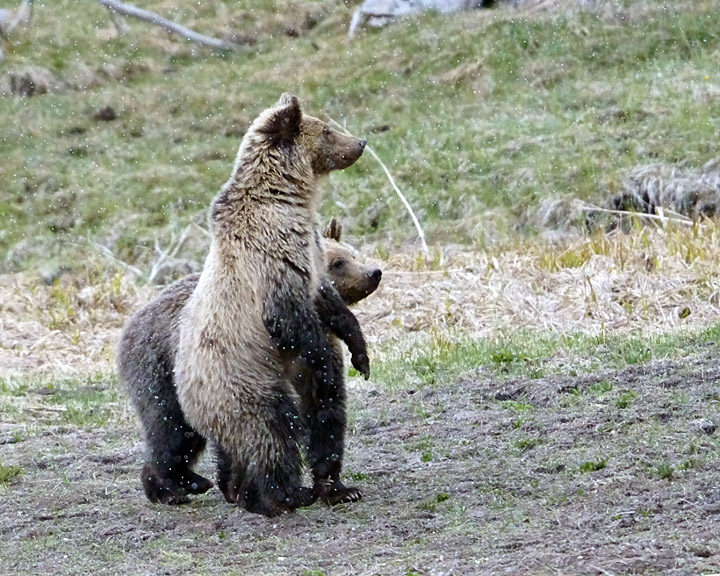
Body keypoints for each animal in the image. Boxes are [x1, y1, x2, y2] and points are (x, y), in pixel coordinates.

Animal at [174, 94, 368, 516]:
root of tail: (190, 404)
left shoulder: (310, 254)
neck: (286, 199)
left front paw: (360, 353)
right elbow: (291, 320)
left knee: (325, 413)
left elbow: (329, 304)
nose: (360, 142)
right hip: (246, 383)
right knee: (274, 430)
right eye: (327, 130)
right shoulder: (270, 257)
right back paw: (285, 494)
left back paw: (332, 486)